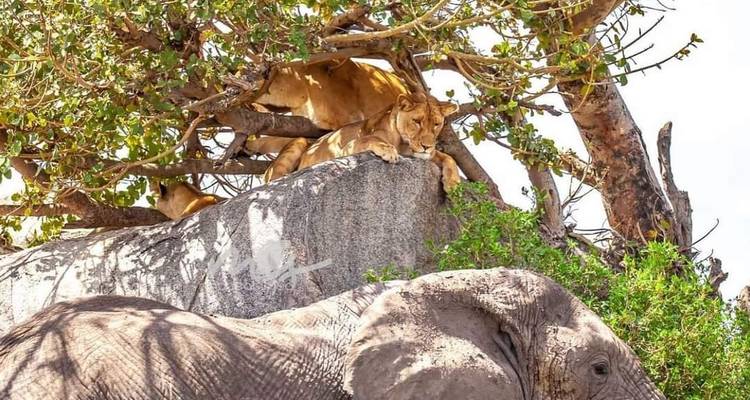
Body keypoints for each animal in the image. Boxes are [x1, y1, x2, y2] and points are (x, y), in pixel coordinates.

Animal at [262, 92, 461, 192]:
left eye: (436, 124)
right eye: (417, 121)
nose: (427, 146)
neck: (404, 144)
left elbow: (449, 158)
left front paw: (453, 183)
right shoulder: (345, 147)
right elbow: (370, 138)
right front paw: (388, 151)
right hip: (298, 143)